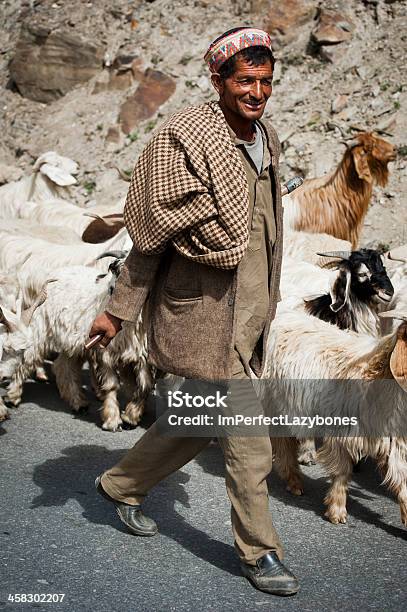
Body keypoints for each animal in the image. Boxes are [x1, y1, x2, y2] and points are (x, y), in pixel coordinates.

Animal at [266, 304, 406, 524]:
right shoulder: (342, 434)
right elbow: (342, 472)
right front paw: (337, 511)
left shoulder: (393, 441)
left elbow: (402, 480)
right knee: (282, 445)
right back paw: (294, 481)